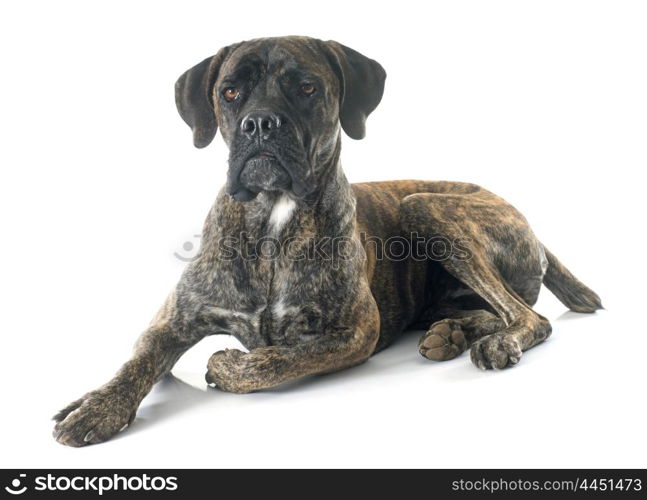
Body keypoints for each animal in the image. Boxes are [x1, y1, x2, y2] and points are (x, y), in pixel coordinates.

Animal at [52, 37, 604, 448]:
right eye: (230, 92)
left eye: (306, 87)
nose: (260, 122)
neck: (272, 221)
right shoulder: (174, 319)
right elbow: (135, 362)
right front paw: (95, 405)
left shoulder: (355, 331)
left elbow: (278, 360)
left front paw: (226, 365)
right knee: (497, 310)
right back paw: (453, 332)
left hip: (424, 204)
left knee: (527, 316)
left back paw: (491, 341)